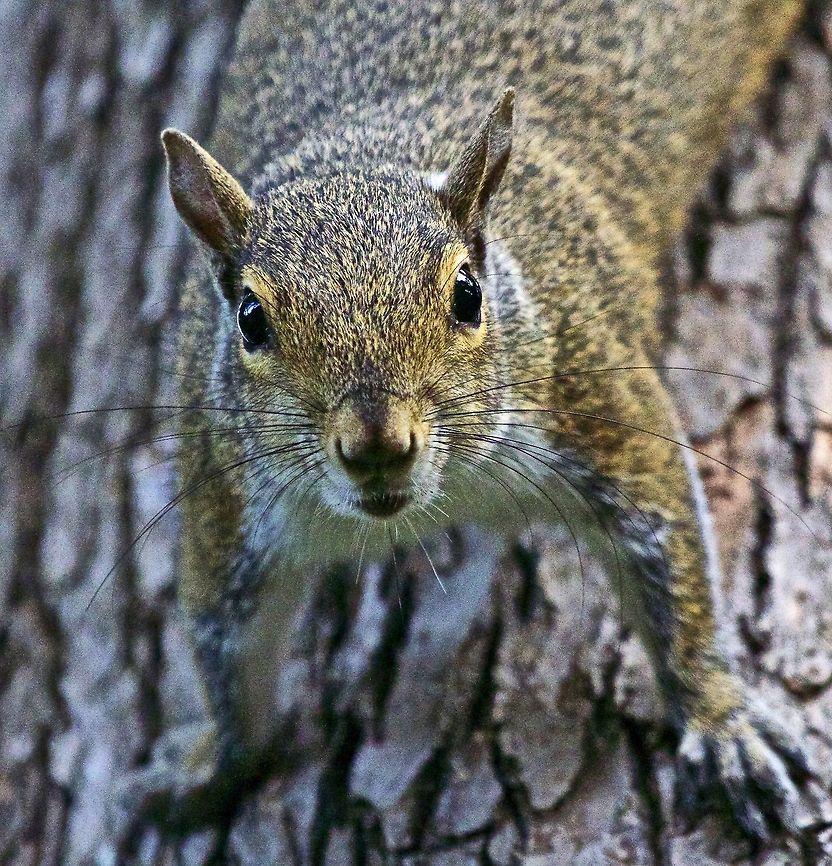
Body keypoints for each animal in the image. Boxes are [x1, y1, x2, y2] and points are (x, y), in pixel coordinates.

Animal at [152, 0, 812, 842]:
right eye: (249, 319)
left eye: (467, 294)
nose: (376, 445)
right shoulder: (226, 494)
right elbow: (226, 650)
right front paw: (212, 768)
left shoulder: (594, 388)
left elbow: (670, 548)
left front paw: (721, 722)